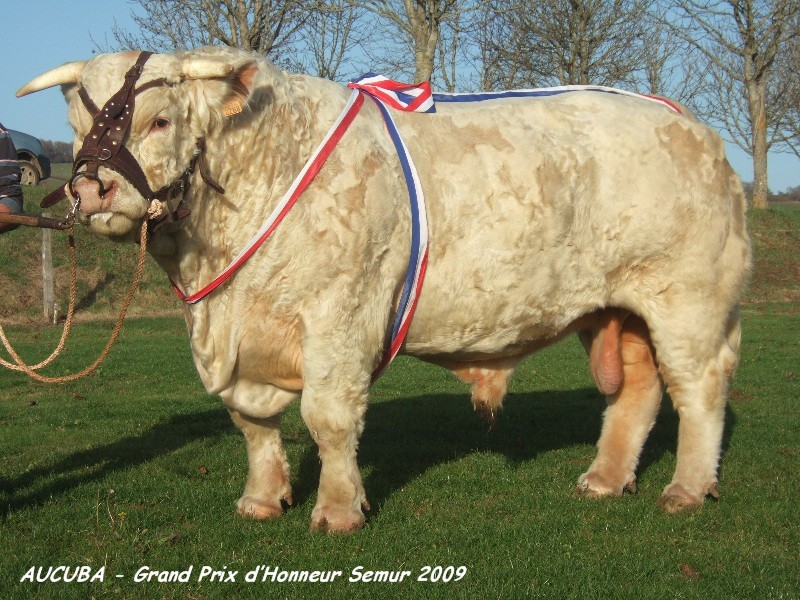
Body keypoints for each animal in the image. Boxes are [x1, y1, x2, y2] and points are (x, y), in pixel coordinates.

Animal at [18, 47, 751, 532]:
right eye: (77, 126)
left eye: (160, 121)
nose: (90, 189)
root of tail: (690, 125)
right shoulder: (237, 341)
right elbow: (253, 423)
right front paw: (262, 499)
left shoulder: (339, 314)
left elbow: (328, 418)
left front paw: (339, 511)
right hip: (622, 307)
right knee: (639, 389)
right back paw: (605, 479)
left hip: (688, 299)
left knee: (698, 387)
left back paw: (687, 488)